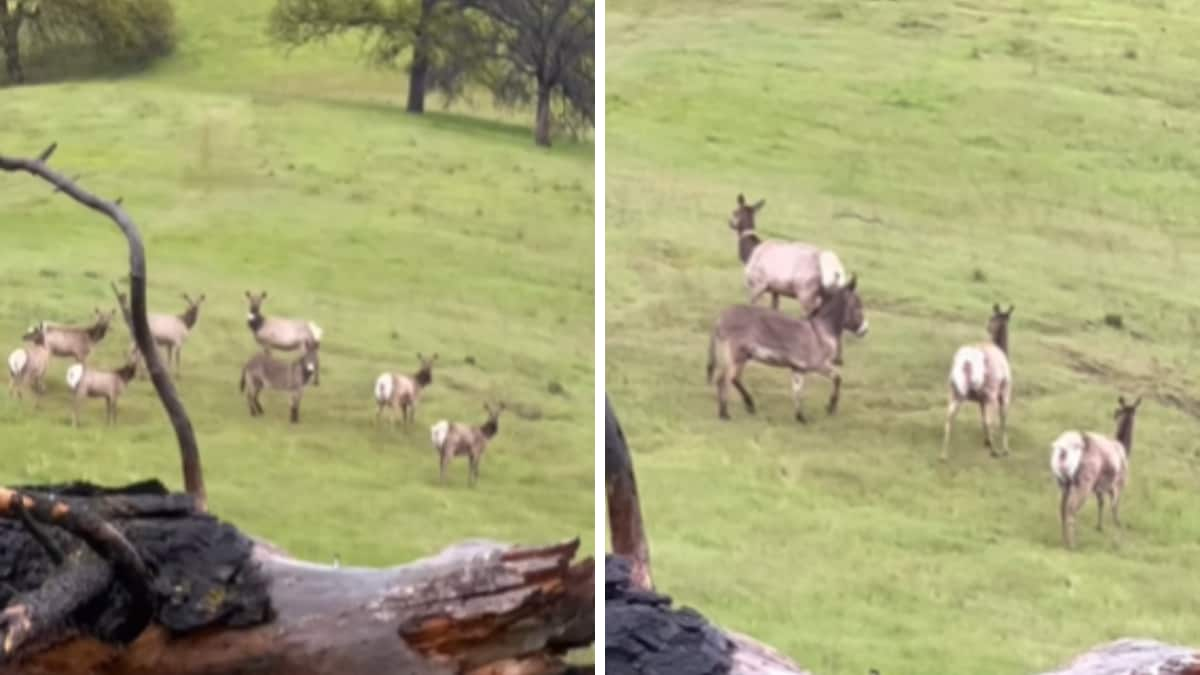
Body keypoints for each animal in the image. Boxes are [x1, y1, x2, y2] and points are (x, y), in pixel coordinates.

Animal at [705, 273, 868, 420]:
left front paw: (801, 417)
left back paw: (748, 405)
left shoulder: (798, 369)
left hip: (743, 356)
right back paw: (724, 414)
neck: (821, 331)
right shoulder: (819, 365)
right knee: (723, 380)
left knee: (733, 379)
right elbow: (838, 378)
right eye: (858, 305)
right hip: (736, 356)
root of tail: (721, 317)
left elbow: (797, 391)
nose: (865, 330)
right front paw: (831, 407)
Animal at [940, 303, 1017, 456]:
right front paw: (1005, 449)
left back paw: (943, 454)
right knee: (990, 420)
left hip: (954, 389)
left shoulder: (981, 399)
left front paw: (987, 441)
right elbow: (1002, 418)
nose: (987, 326)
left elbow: (982, 418)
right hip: (991, 391)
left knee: (949, 417)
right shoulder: (1005, 391)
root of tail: (968, 360)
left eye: (992, 318)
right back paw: (995, 451)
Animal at [1051, 393, 1142, 547]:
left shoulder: (1100, 485)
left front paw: (1099, 527)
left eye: (1118, 411)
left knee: (1062, 508)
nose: (1114, 414)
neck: (1125, 449)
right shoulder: (1118, 482)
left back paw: (1064, 539)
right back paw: (1072, 544)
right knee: (1071, 509)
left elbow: (1101, 503)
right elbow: (1114, 505)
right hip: (1085, 479)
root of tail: (1064, 449)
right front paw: (1117, 524)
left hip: (1062, 481)